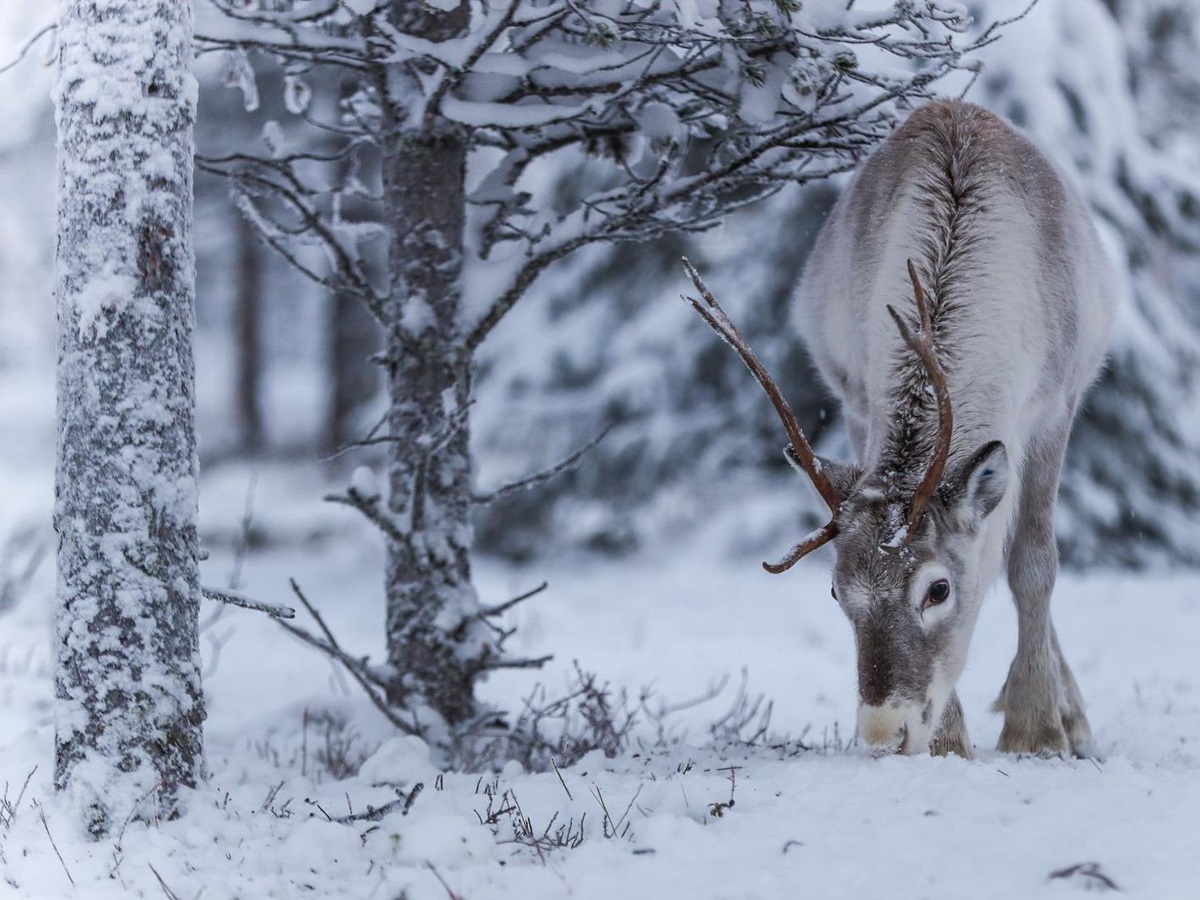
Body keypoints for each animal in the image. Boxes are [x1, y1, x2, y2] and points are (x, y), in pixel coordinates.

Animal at [684, 99, 1115, 758]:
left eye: (938, 590)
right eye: (837, 592)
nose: (885, 735)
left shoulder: (1053, 406)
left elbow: (1033, 563)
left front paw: (1037, 730)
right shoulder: (860, 401)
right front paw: (950, 743)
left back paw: (1072, 717)